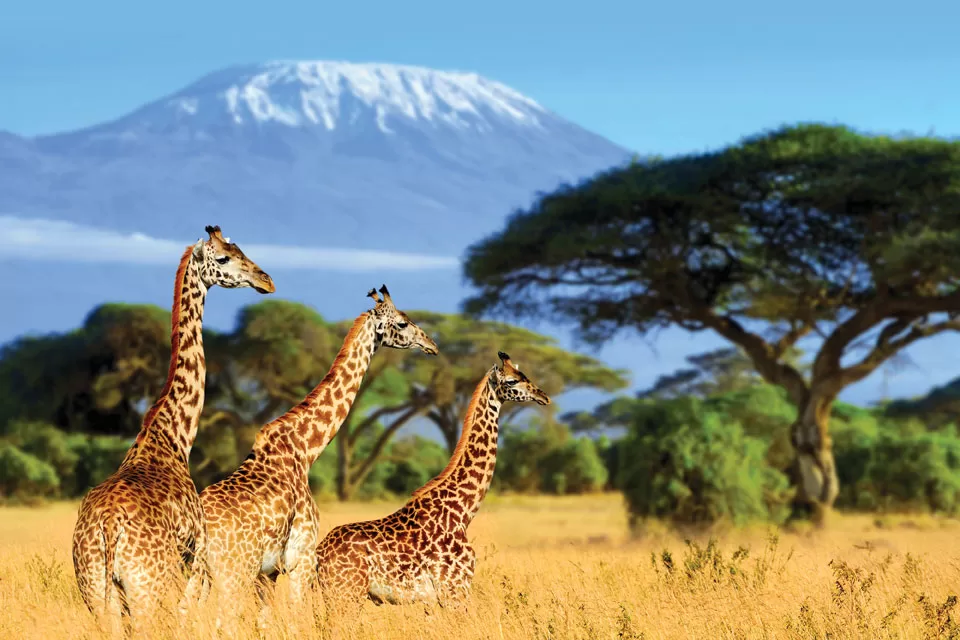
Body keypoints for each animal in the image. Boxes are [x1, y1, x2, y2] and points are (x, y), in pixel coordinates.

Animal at [71, 225, 275, 632]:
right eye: (224, 257)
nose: (266, 280)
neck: (173, 437)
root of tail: (107, 528)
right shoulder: (195, 557)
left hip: (95, 590)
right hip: (146, 586)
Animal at [190, 285, 439, 626]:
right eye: (402, 322)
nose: (431, 345)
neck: (305, 450)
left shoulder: (268, 573)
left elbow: (265, 623)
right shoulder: (302, 560)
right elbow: (296, 621)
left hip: (197, 576)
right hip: (233, 574)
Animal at [315, 351, 550, 611]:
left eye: (524, 375)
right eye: (511, 381)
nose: (544, 396)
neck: (463, 512)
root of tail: (318, 554)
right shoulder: (455, 589)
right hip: (346, 594)